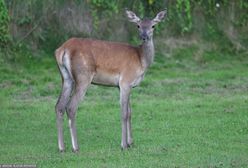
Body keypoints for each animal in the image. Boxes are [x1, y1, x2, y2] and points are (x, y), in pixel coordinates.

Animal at [54, 9, 167, 152]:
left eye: (153, 26)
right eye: (138, 25)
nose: (144, 37)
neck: (141, 59)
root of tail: (62, 49)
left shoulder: (124, 86)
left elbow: (130, 112)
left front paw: (131, 142)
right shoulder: (125, 81)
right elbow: (124, 113)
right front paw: (124, 145)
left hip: (66, 77)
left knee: (59, 106)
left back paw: (62, 147)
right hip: (83, 76)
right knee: (71, 107)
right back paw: (76, 147)